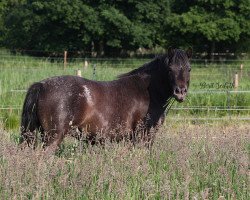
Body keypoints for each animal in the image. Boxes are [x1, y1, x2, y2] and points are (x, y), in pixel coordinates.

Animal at [20, 48, 191, 151]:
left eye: (189, 69)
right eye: (170, 69)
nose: (180, 92)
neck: (148, 92)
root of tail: (41, 85)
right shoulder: (144, 136)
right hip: (53, 137)